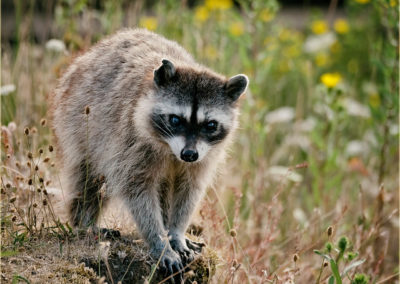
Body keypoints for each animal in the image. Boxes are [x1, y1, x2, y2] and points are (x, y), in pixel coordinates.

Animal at [50, 29, 247, 280]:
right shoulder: (130, 139)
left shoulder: (205, 155)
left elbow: (189, 189)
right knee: (89, 177)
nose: (189, 154)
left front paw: (175, 232)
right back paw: (83, 222)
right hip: (78, 120)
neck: (171, 150)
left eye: (210, 124)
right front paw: (159, 241)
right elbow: (136, 189)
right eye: (175, 119)